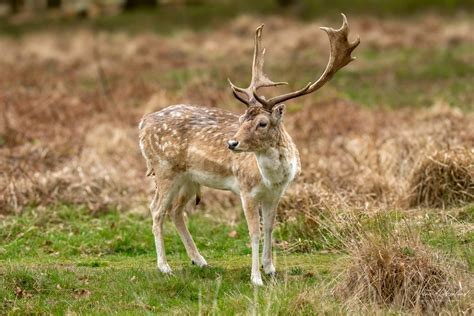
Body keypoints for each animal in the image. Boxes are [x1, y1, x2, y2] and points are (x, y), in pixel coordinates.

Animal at [138, 13, 360, 286]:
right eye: (243, 118)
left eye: (261, 123)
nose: (232, 143)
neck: (271, 178)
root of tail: (143, 123)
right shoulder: (245, 190)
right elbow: (254, 232)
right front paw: (256, 278)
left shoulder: (276, 194)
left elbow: (270, 227)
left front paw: (270, 268)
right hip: (164, 169)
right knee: (156, 210)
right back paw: (164, 266)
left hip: (189, 179)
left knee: (176, 211)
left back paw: (200, 260)